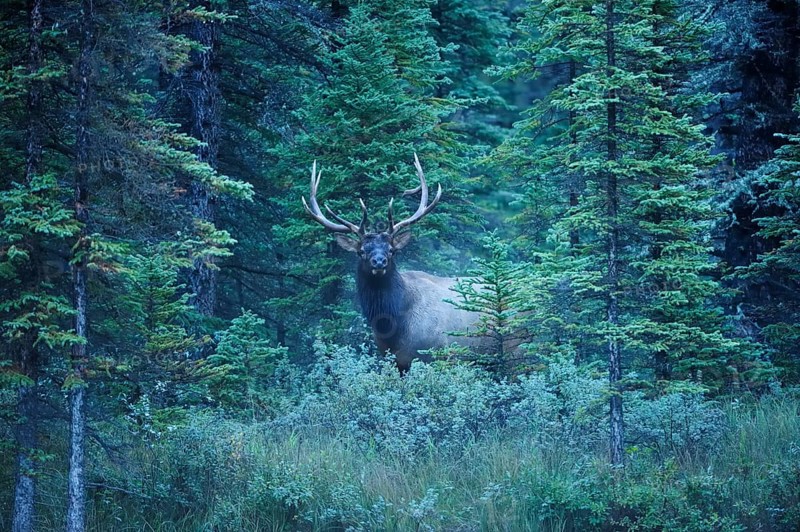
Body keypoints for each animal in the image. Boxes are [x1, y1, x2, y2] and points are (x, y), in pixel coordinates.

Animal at [302, 155, 487, 372]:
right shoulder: (394, 361)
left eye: (392, 250)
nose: (379, 262)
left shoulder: (441, 354)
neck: (391, 327)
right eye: (361, 251)